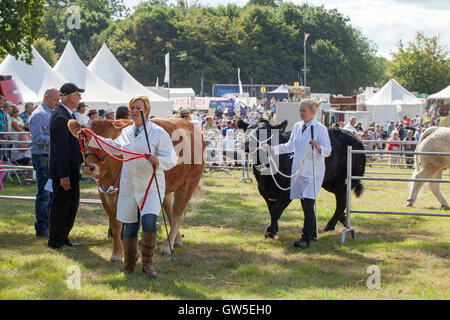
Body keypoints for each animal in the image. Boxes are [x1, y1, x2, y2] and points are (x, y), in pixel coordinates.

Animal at [67, 118, 205, 262]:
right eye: (85, 139)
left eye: (110, 141)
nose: (88, 167)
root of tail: (189, 124)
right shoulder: (104, 196)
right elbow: (116, 225)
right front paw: (116, 254)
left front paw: (133, 253)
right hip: (166, 188)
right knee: (172, 212)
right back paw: (176, 240)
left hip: (189, 182)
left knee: (178, 214)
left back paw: (167, 246)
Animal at [237, 119, 368, 239]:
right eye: (246, 130)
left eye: (264, 131)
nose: (246, 143)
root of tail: (356, 139)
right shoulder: (263, 190)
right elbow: (271, 209)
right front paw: (274, 229)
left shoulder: (287, 191)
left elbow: (275, 210)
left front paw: (270, 231)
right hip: (330, 182)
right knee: (341, 202)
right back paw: (342, 219)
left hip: (344, 181)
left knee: (341, 202)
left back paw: (330, 225)